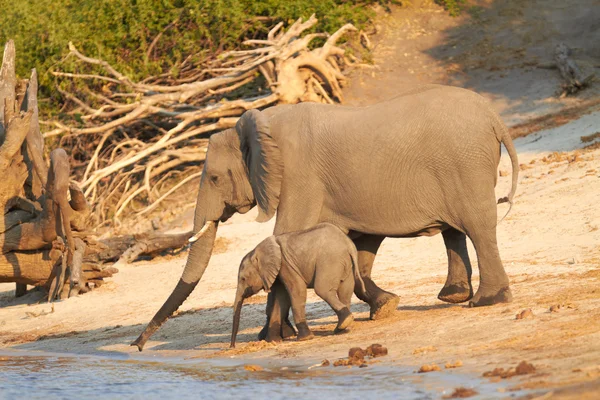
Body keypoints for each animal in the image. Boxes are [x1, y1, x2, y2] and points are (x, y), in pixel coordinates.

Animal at [231, 222, 366, 346]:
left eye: (243, 279)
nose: (232, 347)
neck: (257, 250)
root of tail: (349, 244)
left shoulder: (286, 265)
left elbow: (297, 290)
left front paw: (304, 338)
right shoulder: (280, 270)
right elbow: (281, 298)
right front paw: (272, 341)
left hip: (330, 261)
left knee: (322, 289)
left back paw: (344, 323)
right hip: (346, 264)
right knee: (345, 292)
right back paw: (342, 328)